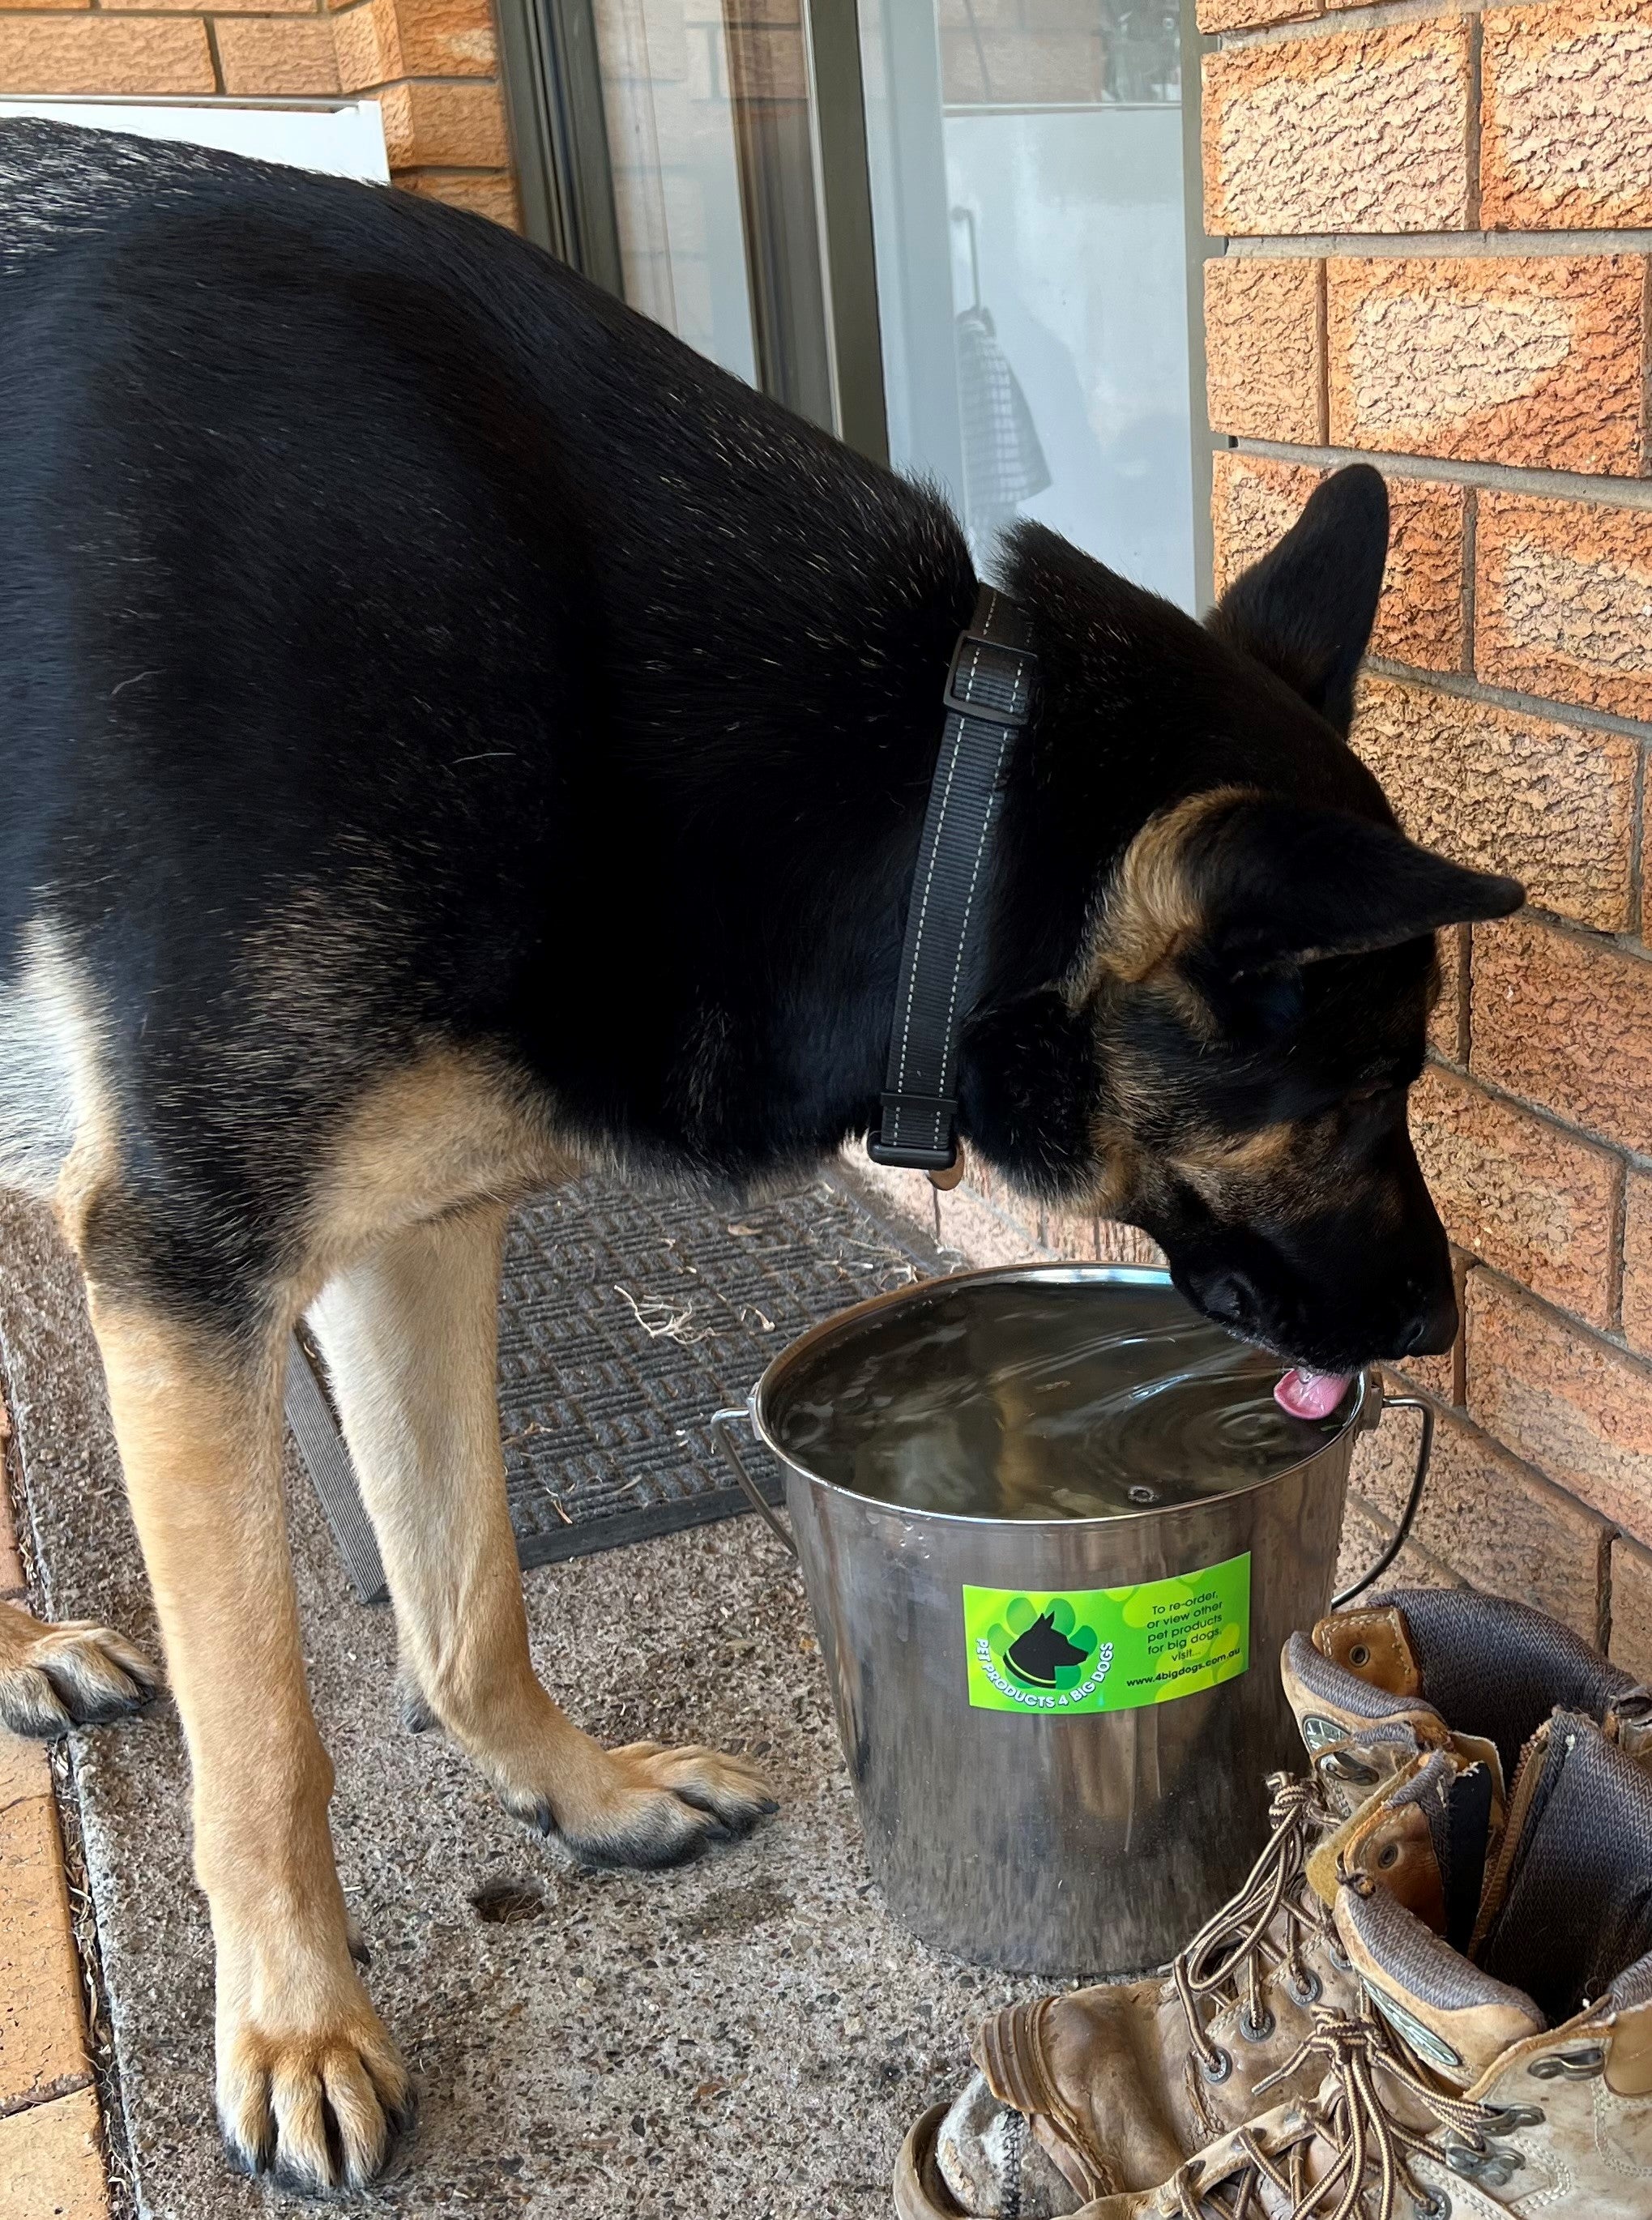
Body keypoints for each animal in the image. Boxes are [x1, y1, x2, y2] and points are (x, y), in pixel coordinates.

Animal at [0, 122, 1518, 2184]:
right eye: (1367, 1092)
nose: (1436, 1324)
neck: (910, 786)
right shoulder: (193, 1265)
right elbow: (266, 1734)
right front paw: (298, 2021)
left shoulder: (413, 1234)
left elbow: (468, 1585)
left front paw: (570, 1790)